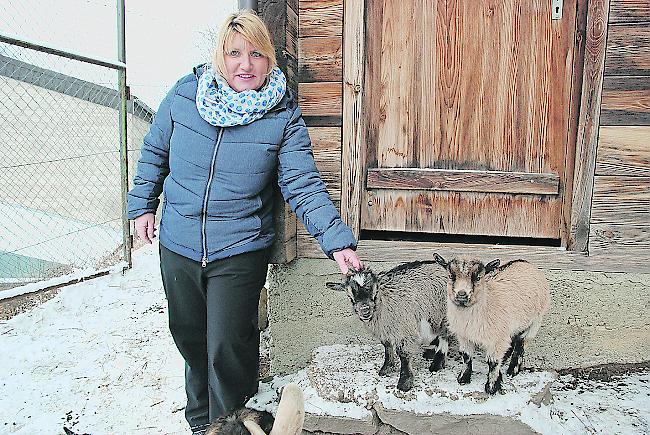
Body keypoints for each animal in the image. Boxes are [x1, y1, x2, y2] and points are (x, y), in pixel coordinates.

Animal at [326, 260, 448, 394]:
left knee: (445, 336)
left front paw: (405, 382)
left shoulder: (404, 330)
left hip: (445, 314)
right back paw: (430, 353)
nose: (365, 310)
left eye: (374, 290)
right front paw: (386, 368)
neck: (384, 301)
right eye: (350, 296)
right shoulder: (385, 330)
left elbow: (403, 354)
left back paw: (437, 363)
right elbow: (387, 347)